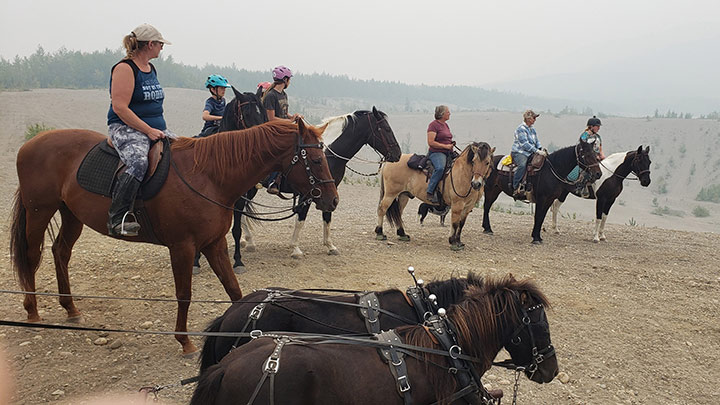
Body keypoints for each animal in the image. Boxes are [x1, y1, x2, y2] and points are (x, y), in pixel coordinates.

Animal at [10, 120, 338, 355]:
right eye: (315, 159)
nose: (332, 200)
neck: (209, 176)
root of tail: (29, 144)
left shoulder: (214, 244)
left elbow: (234, 289)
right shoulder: (183, 247)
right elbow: (184, 293)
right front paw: (184, 341)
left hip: (71, 215)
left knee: (60, 252)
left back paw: (70, 308)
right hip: (39, 211)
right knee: (31, 256)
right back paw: (32, 311)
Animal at [238, 107, 402, 260]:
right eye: (386, 129)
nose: (398, 154)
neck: (327, 155)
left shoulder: (330, 192)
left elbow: (327, 217)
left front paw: (330, 246)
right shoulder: (308, 193)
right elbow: (301, 218)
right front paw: (295, 248)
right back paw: (249, 241)